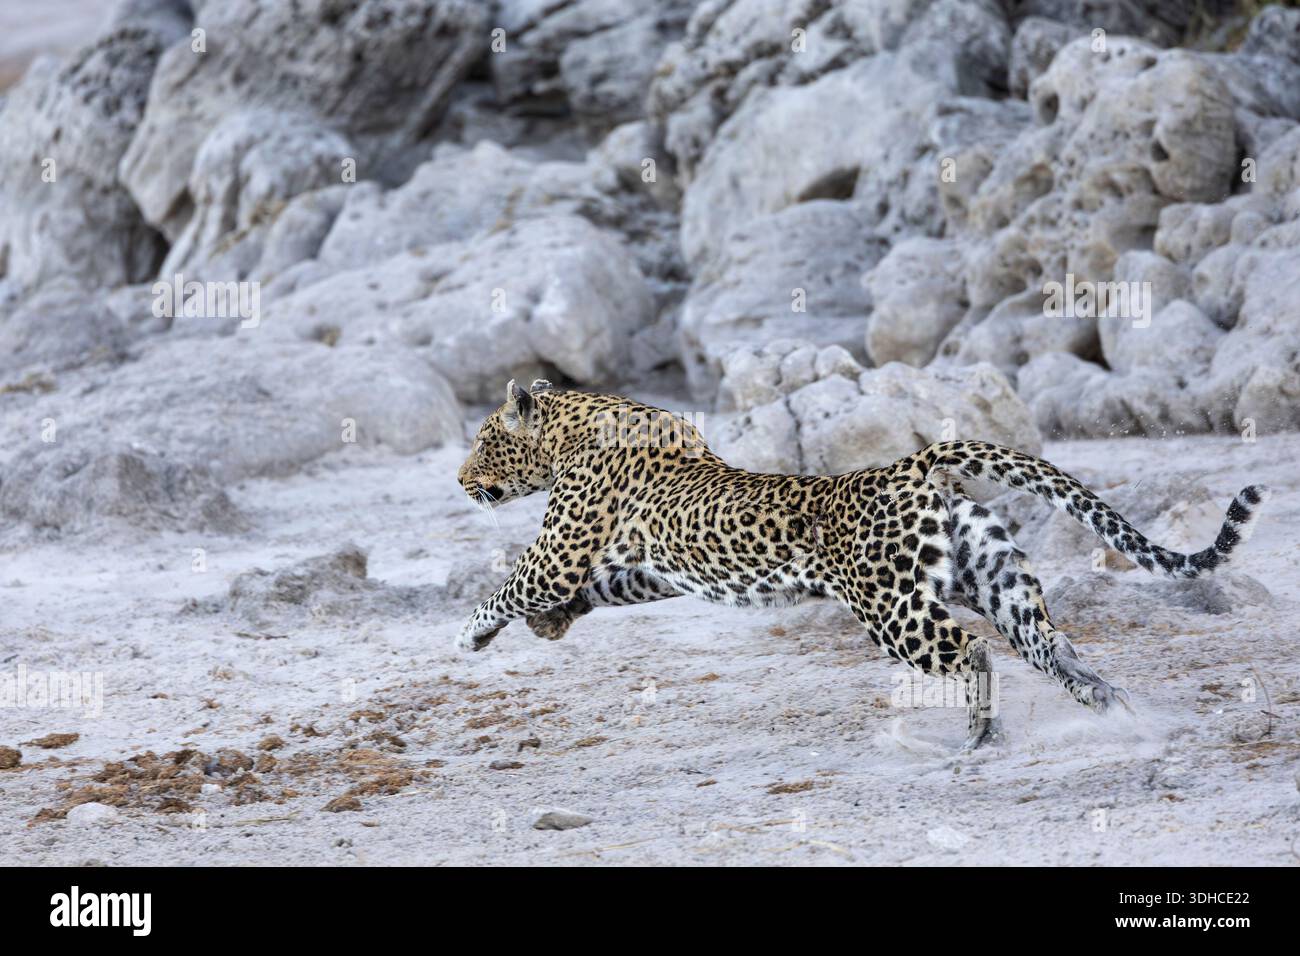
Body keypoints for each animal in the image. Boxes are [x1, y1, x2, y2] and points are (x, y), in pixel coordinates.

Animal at [455, 379, 1269, 749]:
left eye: (486, 440)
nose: (460, 481)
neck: (573, 422)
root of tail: (915, 462)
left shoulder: (559, 551)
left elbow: (513, 584)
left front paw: (471, 633)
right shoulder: (647, 566)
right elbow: (602, 588)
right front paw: (546, 628)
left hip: (893, 610)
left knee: (973, 651)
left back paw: (979, 737)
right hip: (992, 577)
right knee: (1052, 644)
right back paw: (1114, 712)